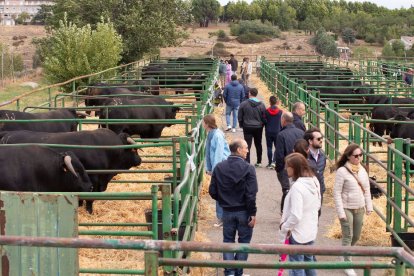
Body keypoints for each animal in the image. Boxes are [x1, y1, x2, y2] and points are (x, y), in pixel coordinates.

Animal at [0, 129, 142, 213]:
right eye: (134, 150)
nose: (140, 160)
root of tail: (8, 135)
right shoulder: (94, 179)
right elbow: (90, 198)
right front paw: (89, 211)